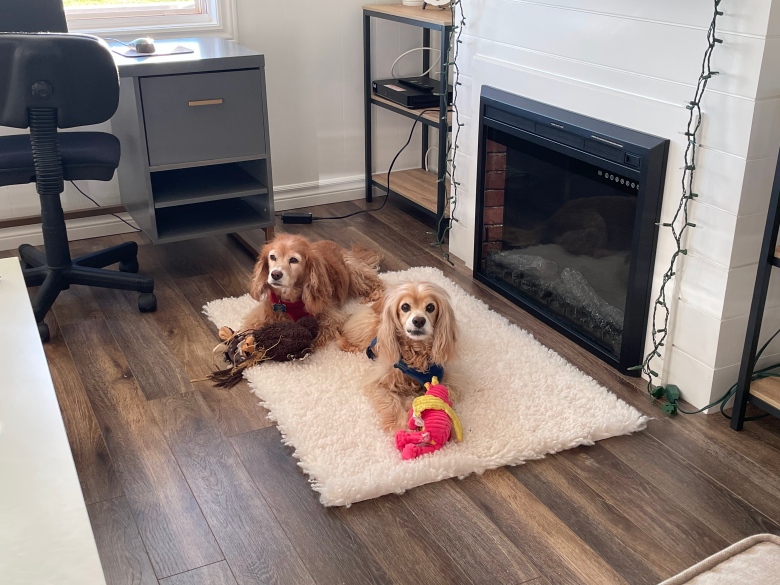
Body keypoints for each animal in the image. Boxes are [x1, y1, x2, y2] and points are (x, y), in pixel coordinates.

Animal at [338, 280, 460, 432]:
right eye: (405, 306)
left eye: (430, 307)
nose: (419, 320)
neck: (416, 352)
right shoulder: (377, 381)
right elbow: (391, 403)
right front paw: (403, 425)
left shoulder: (446, 378)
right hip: (368, 324)